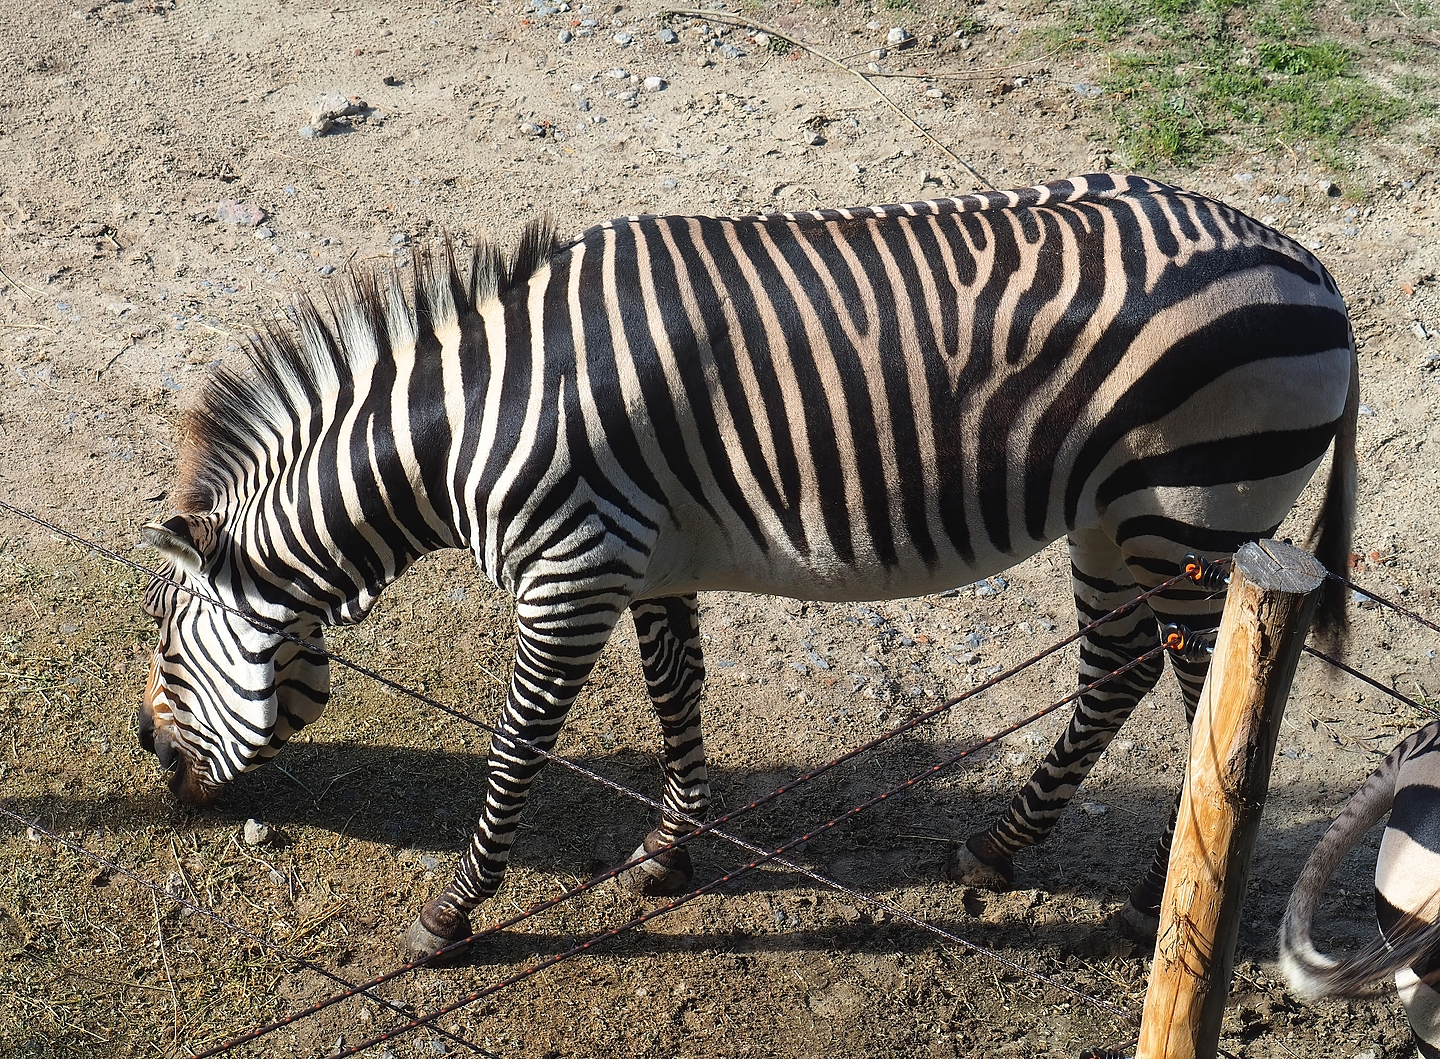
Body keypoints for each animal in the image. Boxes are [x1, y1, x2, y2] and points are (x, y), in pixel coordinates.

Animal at [135, 173, 1357, 956]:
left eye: (166, 642)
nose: (149, 757)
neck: (472, 427)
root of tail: (1310, 265)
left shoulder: (569, 577)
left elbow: (519, 746)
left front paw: (454, 911)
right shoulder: (648, 560)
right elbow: (677, 697)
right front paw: (668, 854)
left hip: (1189, 523)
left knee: (1204, 699)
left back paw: (1152, 899)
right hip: (1114, 522)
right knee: (1119, 671)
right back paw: (999, 849)